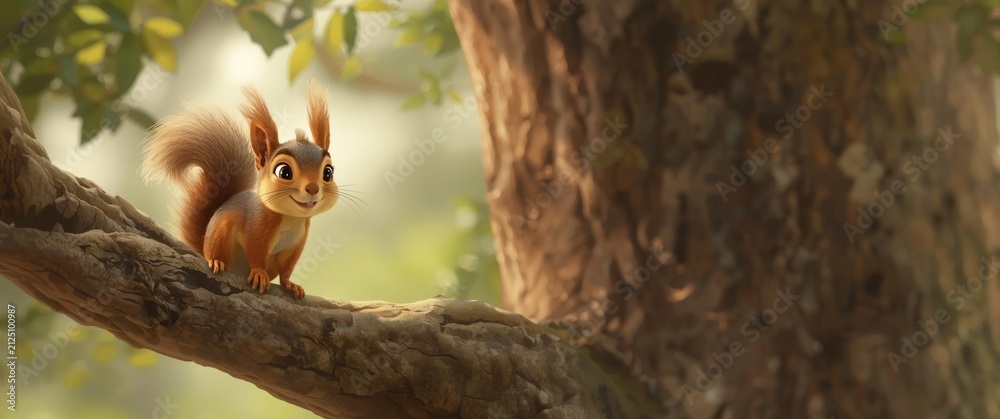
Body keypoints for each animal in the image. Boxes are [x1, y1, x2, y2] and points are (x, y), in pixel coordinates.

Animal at [141, 81, 338, 299]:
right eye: (284, 171)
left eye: (328, 172)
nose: (312, 188)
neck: (291, 218)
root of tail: (203, 246)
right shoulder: (257, 228)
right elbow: (256, 253)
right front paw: (259, 273)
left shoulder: (295, 245)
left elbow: (287, 269)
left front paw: (290, 284)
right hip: (221, 235)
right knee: (216, 254)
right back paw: (217, 262)